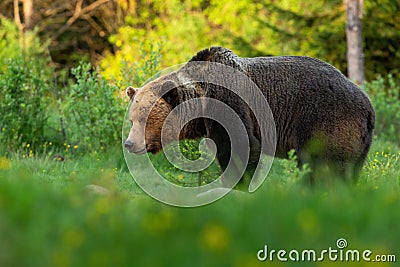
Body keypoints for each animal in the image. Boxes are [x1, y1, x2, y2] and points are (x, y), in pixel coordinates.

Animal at [125, 47, 376, 187]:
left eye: (145, 119)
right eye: (132, 119)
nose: (129, 143)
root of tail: (368, 106)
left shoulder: (230, 104)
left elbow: (241, 147)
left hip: (325, 120)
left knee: (324, 165)